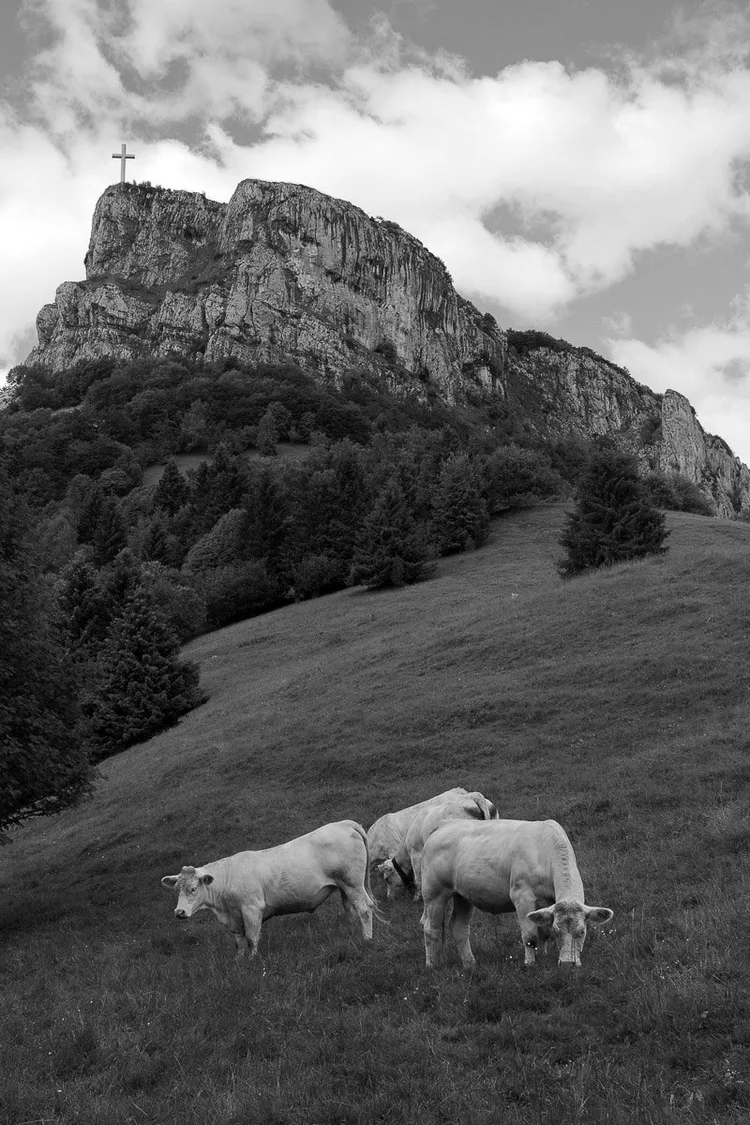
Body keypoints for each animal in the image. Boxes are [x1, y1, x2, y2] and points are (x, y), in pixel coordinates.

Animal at [161, 820, 374, 959]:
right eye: (177, 889)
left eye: (194, 888)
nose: (179, 912)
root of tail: (344, 824)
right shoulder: (235, 917)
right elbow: (238, 942)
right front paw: (239, 962)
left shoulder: (252, 908)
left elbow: (251, 939)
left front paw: (253, 961)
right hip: (344, 887)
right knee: (352, 911)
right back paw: (350, 936)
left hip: (352, 883)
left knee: (364, 909)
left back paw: (367, 939)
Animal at [419, 818, 613, 969]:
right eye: (558, 931)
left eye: (582, 931)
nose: (567, 964)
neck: (545, 850)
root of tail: (443, 825)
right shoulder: (522, 896)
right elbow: (530, 935)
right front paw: (530, 963)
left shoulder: (547, 904)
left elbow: (543, 932)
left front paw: (543, 957)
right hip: (434, 892)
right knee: (431, 928)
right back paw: (432, 965)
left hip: (463, 896)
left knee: (459, 927)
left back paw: (469, 964)